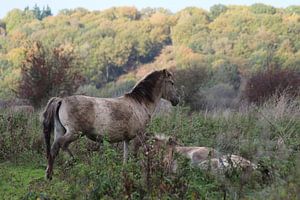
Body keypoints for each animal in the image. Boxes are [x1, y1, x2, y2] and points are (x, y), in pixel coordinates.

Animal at [42, 69, 178, 180]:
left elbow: (126, 157)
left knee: (58, 147)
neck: (139, 103)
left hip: (62, 131)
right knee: (59, 145)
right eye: (171, 82)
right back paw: (56, 171)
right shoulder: (140, 136)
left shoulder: (127, 139)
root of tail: (61, 100)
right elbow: (137, 154)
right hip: (74, 133)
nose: (177, 100)